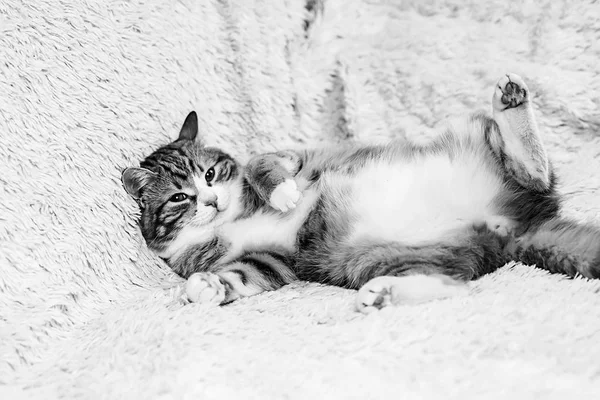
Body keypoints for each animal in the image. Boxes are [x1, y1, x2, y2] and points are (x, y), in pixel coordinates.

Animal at [123, 74, 600, 312]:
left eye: (210, 173)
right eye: (178, 197)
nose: (212, 200)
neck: (231, 220)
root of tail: (515, 226)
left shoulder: (295, 155)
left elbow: (262, 163)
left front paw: (282, 195)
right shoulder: (272, 262)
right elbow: (242, 275)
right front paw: (207, 289)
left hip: (468, 134)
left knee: (535, 174)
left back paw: (513, 105)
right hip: (385, 256)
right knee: (457, 287)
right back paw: (384, 294)